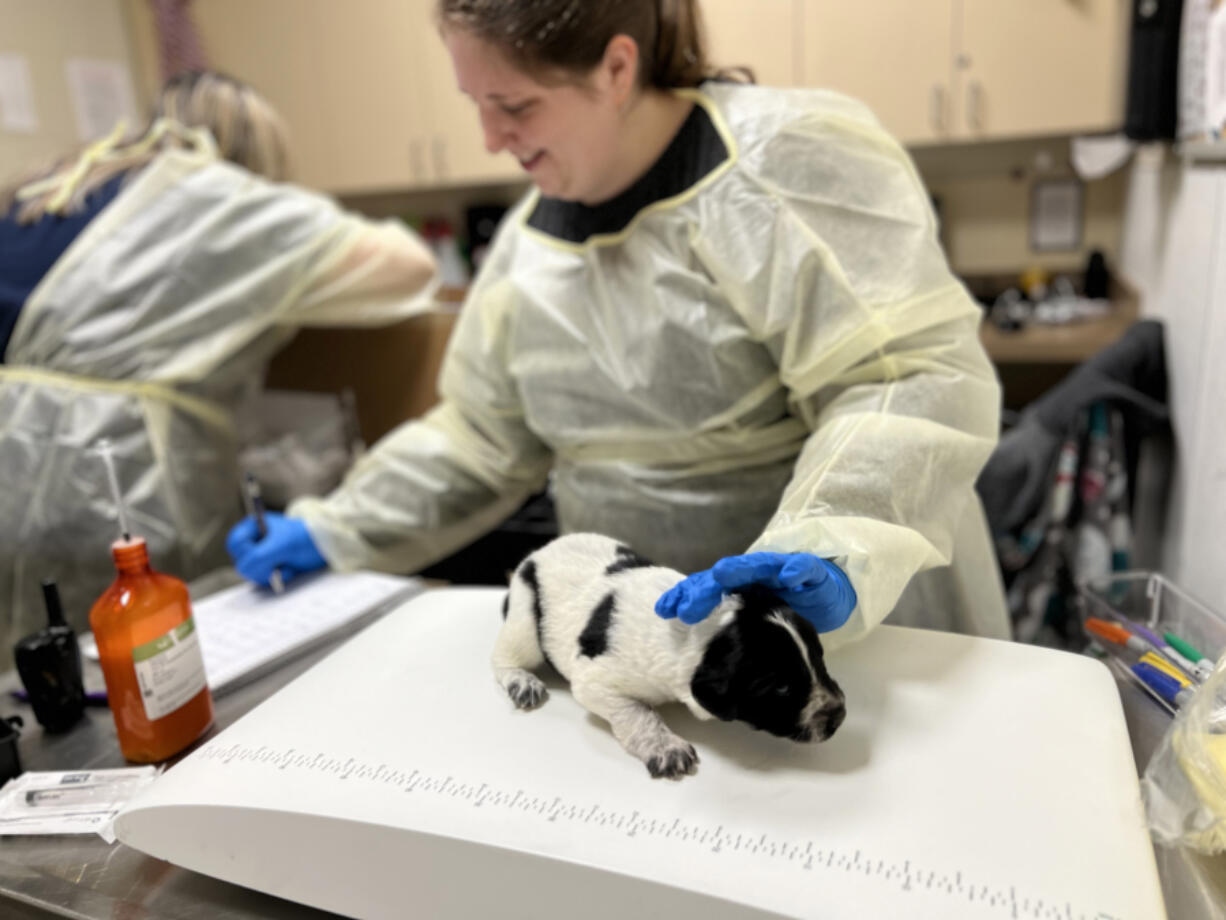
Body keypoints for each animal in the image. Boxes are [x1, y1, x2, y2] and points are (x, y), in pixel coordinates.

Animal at [487, 532, 843, 780]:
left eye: (819, 658)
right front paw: (667, 749)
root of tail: (535, 555)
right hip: (526, 619)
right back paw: (522, 681)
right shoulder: (596, 681)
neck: (702, 631)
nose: (838, 716)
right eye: (781, 687)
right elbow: (638, 714)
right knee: (505, 657)